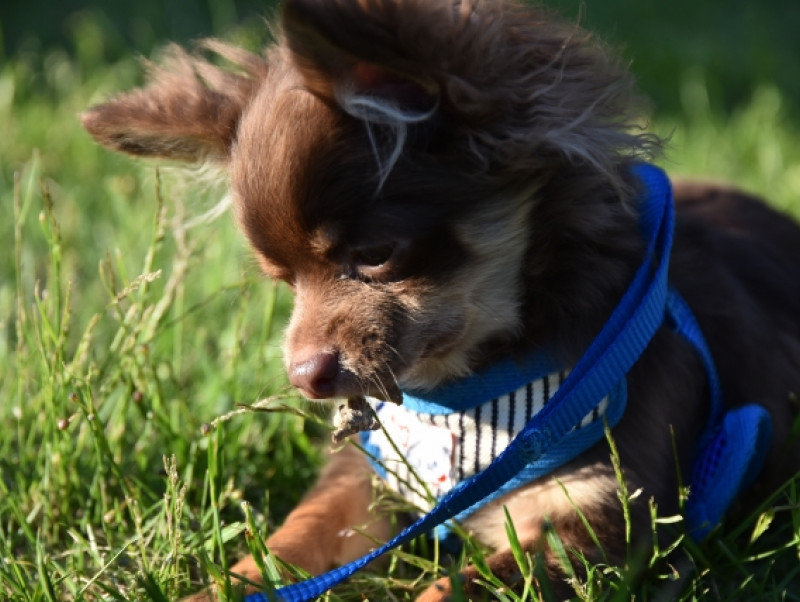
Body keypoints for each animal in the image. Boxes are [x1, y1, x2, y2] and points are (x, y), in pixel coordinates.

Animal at [81, 1, 800, 596]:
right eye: (282, 281)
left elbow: (453, 589)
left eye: (376, 254)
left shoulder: (589, 526)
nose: (304, 376)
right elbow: (281, 550)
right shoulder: (365, 486)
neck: (466, 394)